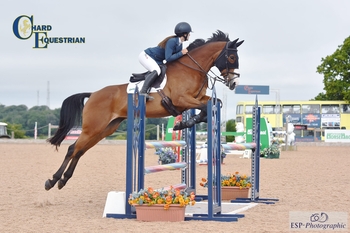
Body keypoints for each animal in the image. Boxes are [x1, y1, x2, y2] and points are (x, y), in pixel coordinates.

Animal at [45, 30, 243, 191]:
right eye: (232, 58)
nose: (234, 84)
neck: (192, 69)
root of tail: (93, 94)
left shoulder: (196, 100)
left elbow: (213, 104)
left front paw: (186, 123)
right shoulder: (182, 100)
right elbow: (203, 108)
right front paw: (184, 123)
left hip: (105, 129)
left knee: (80, 151)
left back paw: (63, 180)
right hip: (93, 128)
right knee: (73, 149)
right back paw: (52, 181)